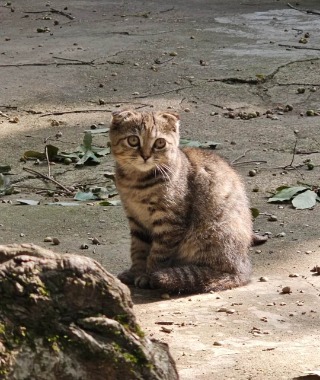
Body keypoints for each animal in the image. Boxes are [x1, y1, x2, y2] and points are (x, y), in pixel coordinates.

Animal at [109, 109, 266, 294]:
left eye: (160, 143)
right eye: (133, 140)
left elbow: (158, 253)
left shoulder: (169, 222)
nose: (146, 156)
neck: (136, 183)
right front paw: (135, 272)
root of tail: (244, 266)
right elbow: (138, 249)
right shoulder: (135, 219)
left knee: (223, 275)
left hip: (212, 234)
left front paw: (148, 275)